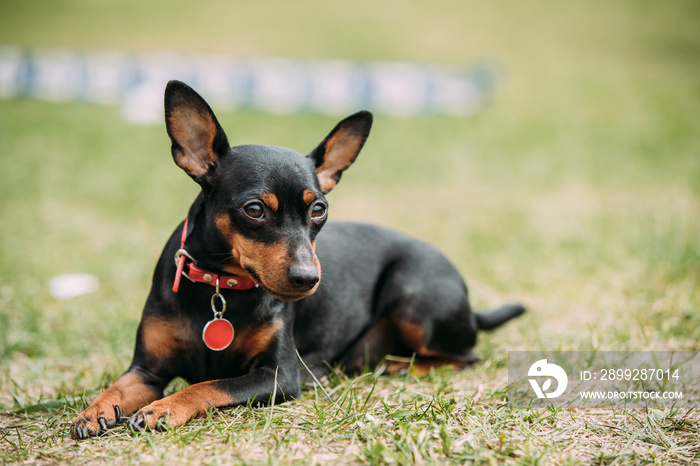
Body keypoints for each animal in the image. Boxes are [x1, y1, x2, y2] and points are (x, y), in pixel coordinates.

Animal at [69, 78, 524, 438]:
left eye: (319, 209)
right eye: (254, 209)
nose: (308, 279)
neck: (220, 287)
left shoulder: (278, 376)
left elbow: (209, 385)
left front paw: (163, 407)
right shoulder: (146, 370)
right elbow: (117, 387)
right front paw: (93, 411)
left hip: (414, 297)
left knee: (466, 355)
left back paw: (400, 366)